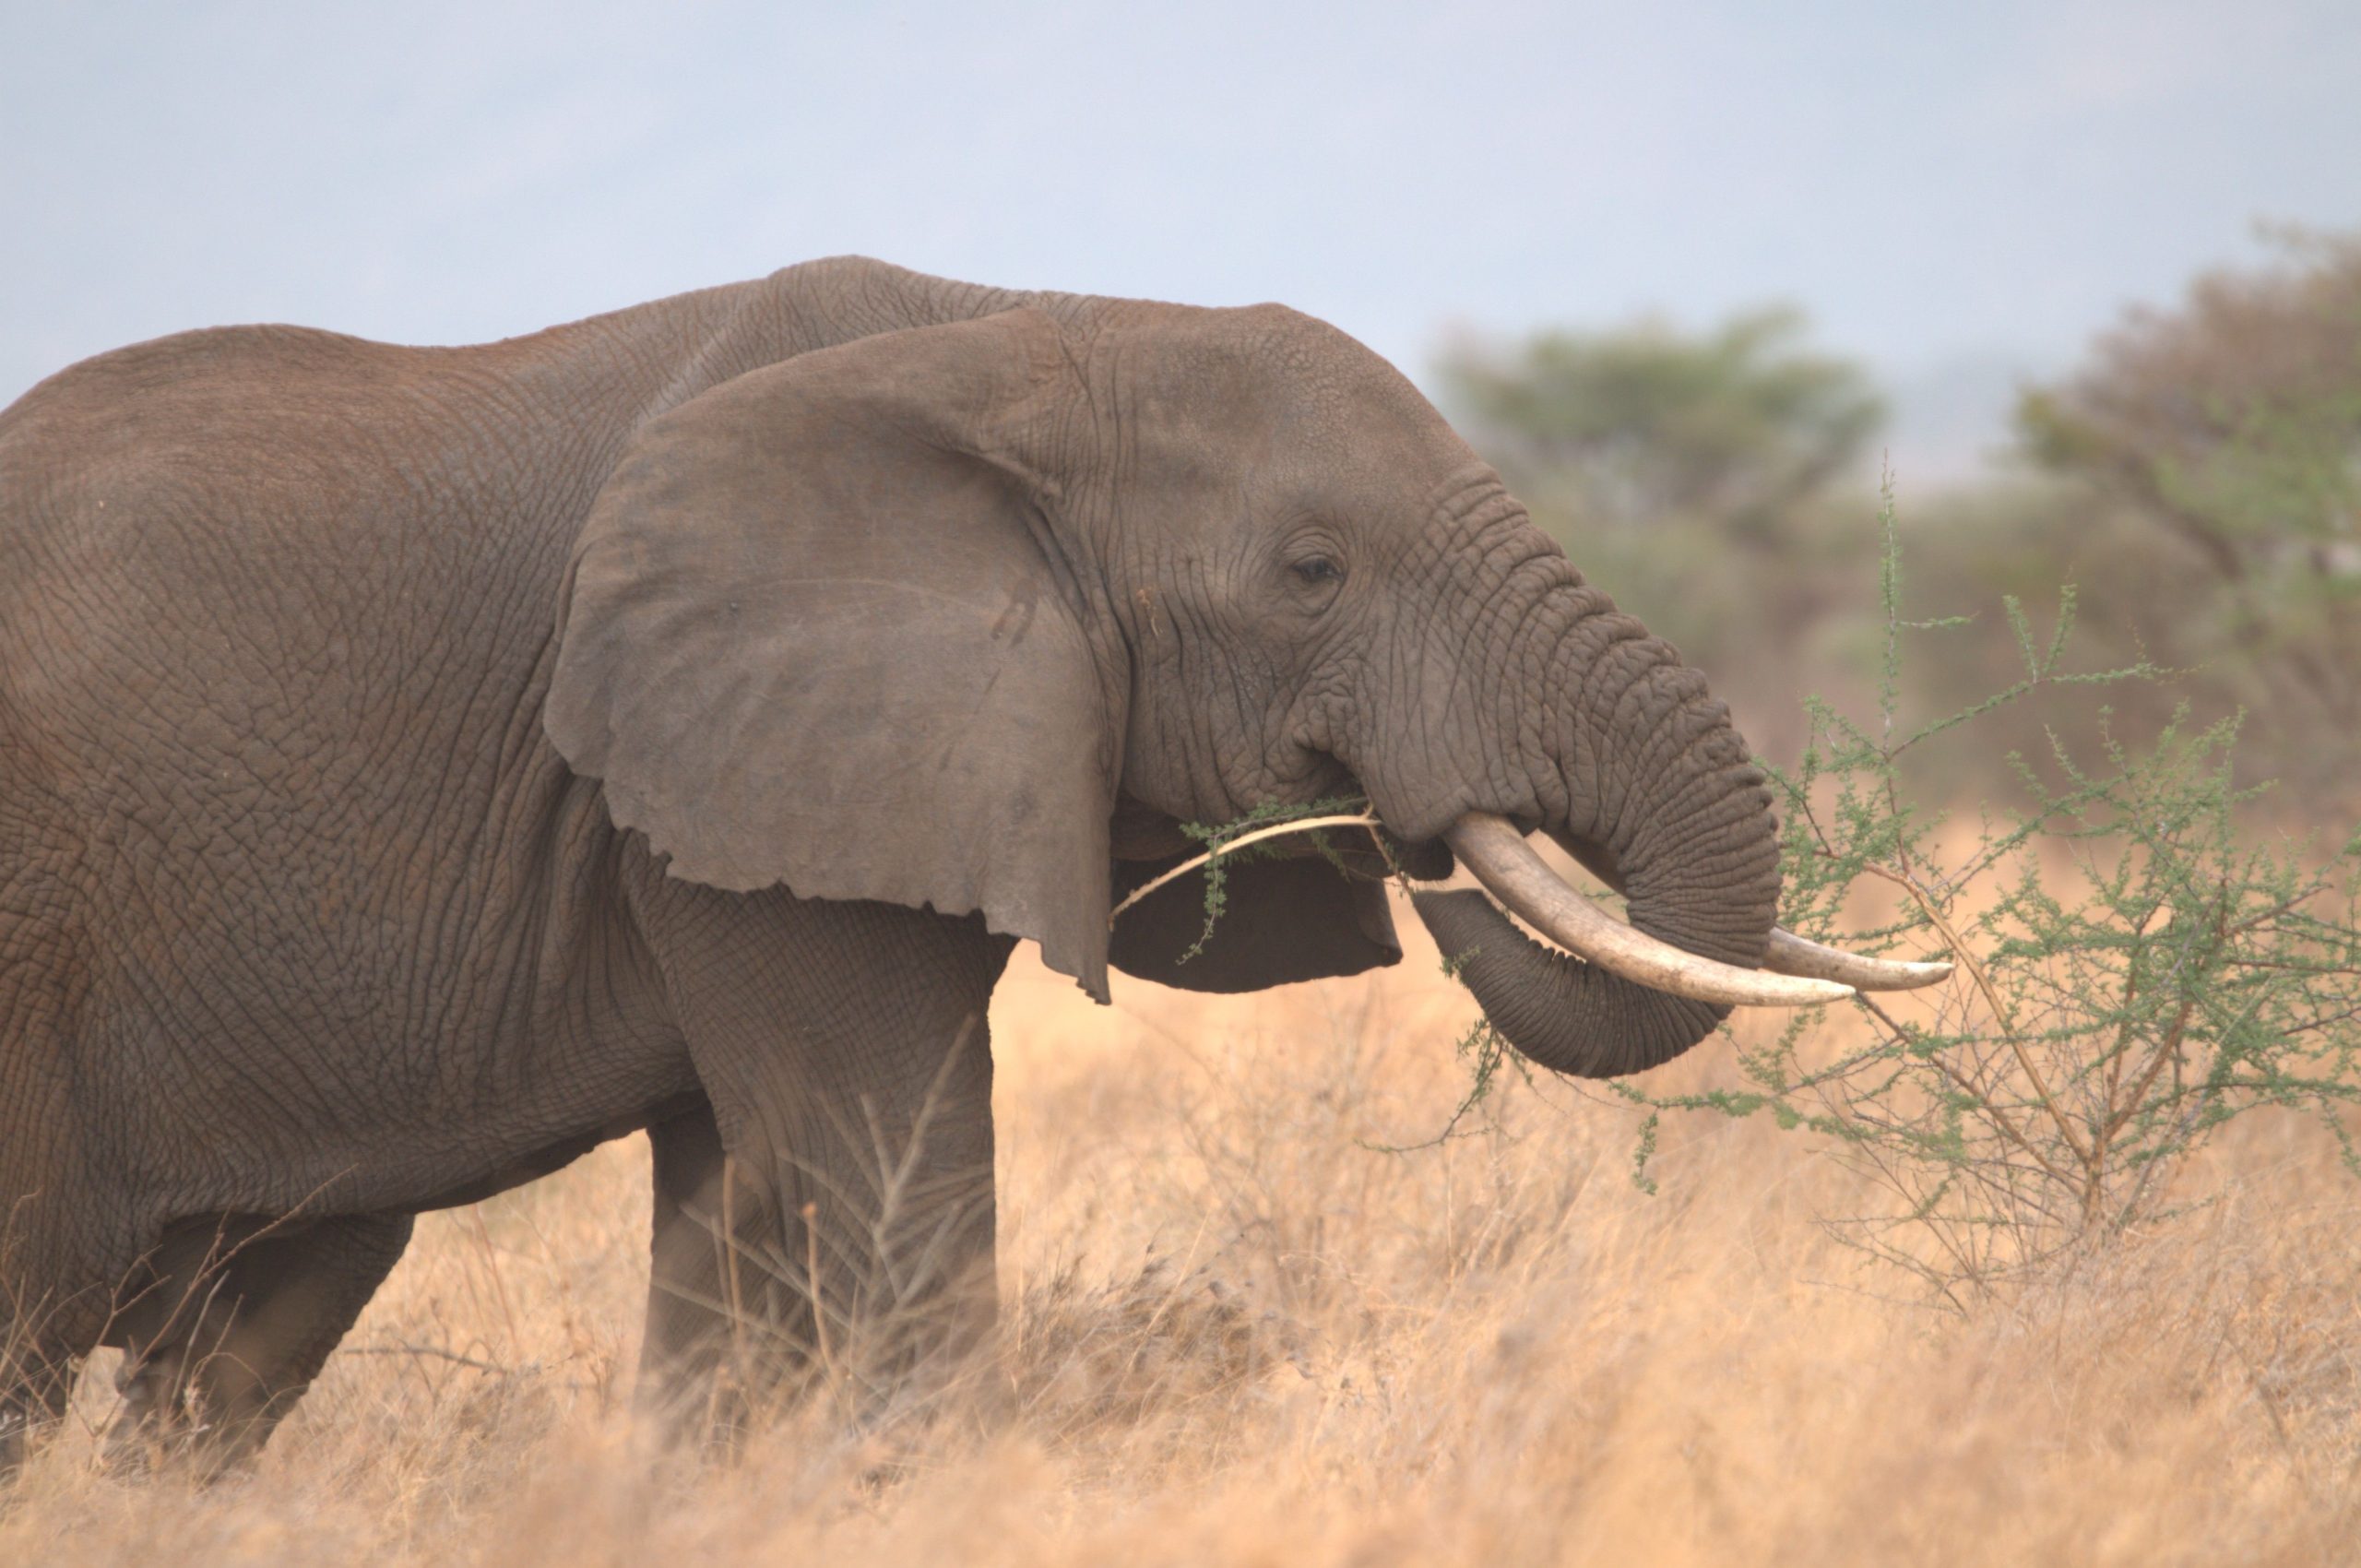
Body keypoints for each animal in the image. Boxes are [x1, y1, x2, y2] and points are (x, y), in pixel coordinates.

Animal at [0, 254, 1936, 1473]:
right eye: (1313, 572)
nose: (1442, 870)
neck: (1029, 329)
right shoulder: (738, 744)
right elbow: (876, 1168)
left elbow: (742, 1208)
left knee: (248, 1339)